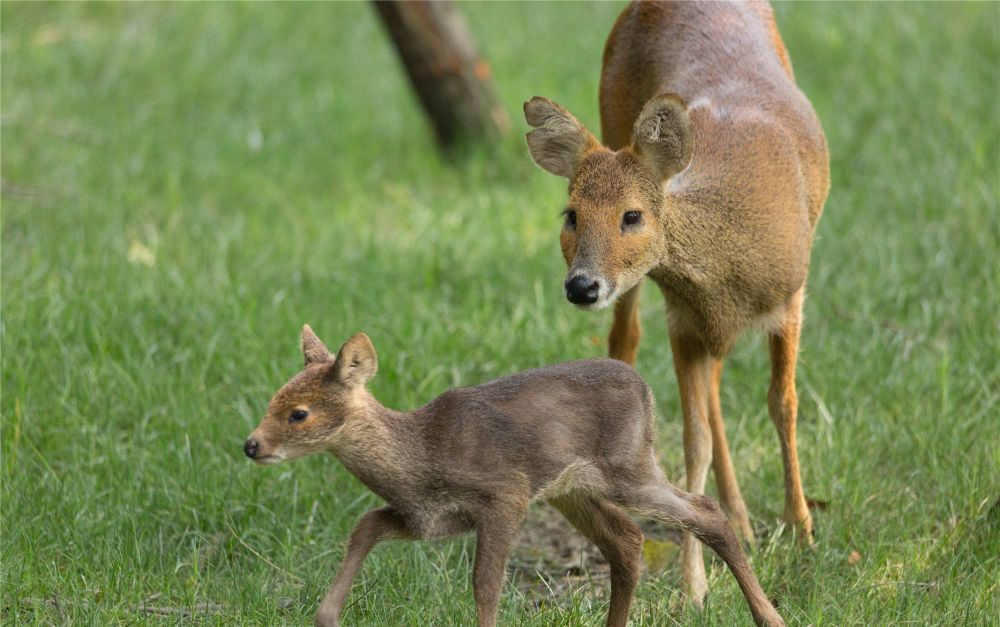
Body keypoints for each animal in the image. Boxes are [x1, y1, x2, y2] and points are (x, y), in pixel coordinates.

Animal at [246, 328, 784, 627]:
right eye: (272, 399)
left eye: (298, 413)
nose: (251, 444)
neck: (420, 452)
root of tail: (645, 387)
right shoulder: (427, 518)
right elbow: (365, 526)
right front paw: (325, 617)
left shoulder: (503, 495)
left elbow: (486, 583)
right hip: (574, 490)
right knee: (627, 541)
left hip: (628, 466)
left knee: (704, 512)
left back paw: (770, 617)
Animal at [524, 1, 828, 608]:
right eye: (570, 215)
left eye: (632, 215)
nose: (581, 286)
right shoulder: (684, 320)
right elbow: (695, 442)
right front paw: (696, 585)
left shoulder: (790, 297)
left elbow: (783, 404)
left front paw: (802, 529)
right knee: (627, 343)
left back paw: (746, 517)